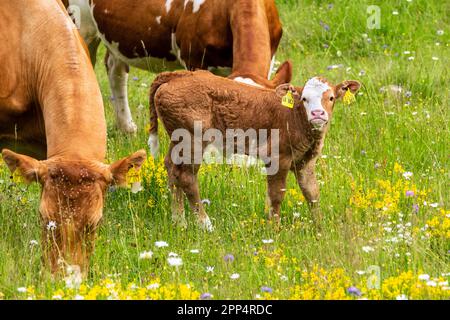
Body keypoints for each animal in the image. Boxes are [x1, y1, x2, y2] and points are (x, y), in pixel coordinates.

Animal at [149, 69, 360, 231]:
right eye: (305, 99)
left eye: (331, 98)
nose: (318, 114)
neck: (294, 116)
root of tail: (178, 74)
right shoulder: (277, 157)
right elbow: (276, 195)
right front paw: (274, 229)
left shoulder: (305, 161)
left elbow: (312, 193)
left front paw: (319, 228)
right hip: (193, 139)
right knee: (186, 177)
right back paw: (205, 224)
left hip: (178, 140)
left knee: (172, 168)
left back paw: (179, 221)